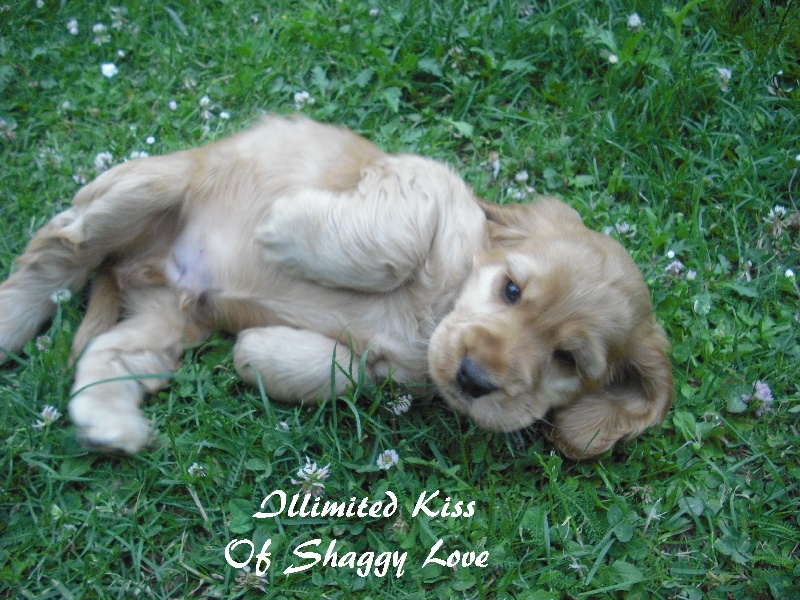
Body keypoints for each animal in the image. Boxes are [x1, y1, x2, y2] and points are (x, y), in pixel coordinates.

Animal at [0, 116, 672, 458]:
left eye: (567, 360)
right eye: (511, 290)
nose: (472, 380)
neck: (439, 308)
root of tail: (132, 263)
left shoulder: (398, 371)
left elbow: (343, 371)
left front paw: (257, 355)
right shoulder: (420, 182)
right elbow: (396, 242)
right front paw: (280, 227)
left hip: (169, 319)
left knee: (108, 351)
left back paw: (108, 422)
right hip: (148, 186)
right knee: (56, 251)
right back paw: (12, 320)